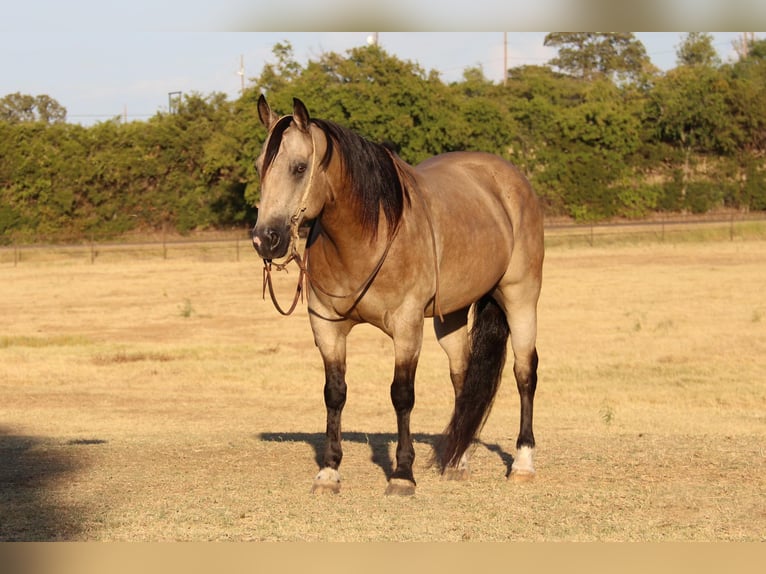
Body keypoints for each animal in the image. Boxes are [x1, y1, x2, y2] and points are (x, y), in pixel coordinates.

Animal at [252, 97, 544, 498]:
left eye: (299, 167)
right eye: (259, 166)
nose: (265, 239)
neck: (367, 235)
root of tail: (511, 179)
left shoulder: (406, 327)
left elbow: (402, 394)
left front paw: (402, 473)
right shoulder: (327, 327)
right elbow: (334, 393)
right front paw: (329, 471)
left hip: (521, 298)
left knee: (524, 373)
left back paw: (523, 463)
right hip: (451, 316)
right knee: (463, 380)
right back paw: (458, 460)